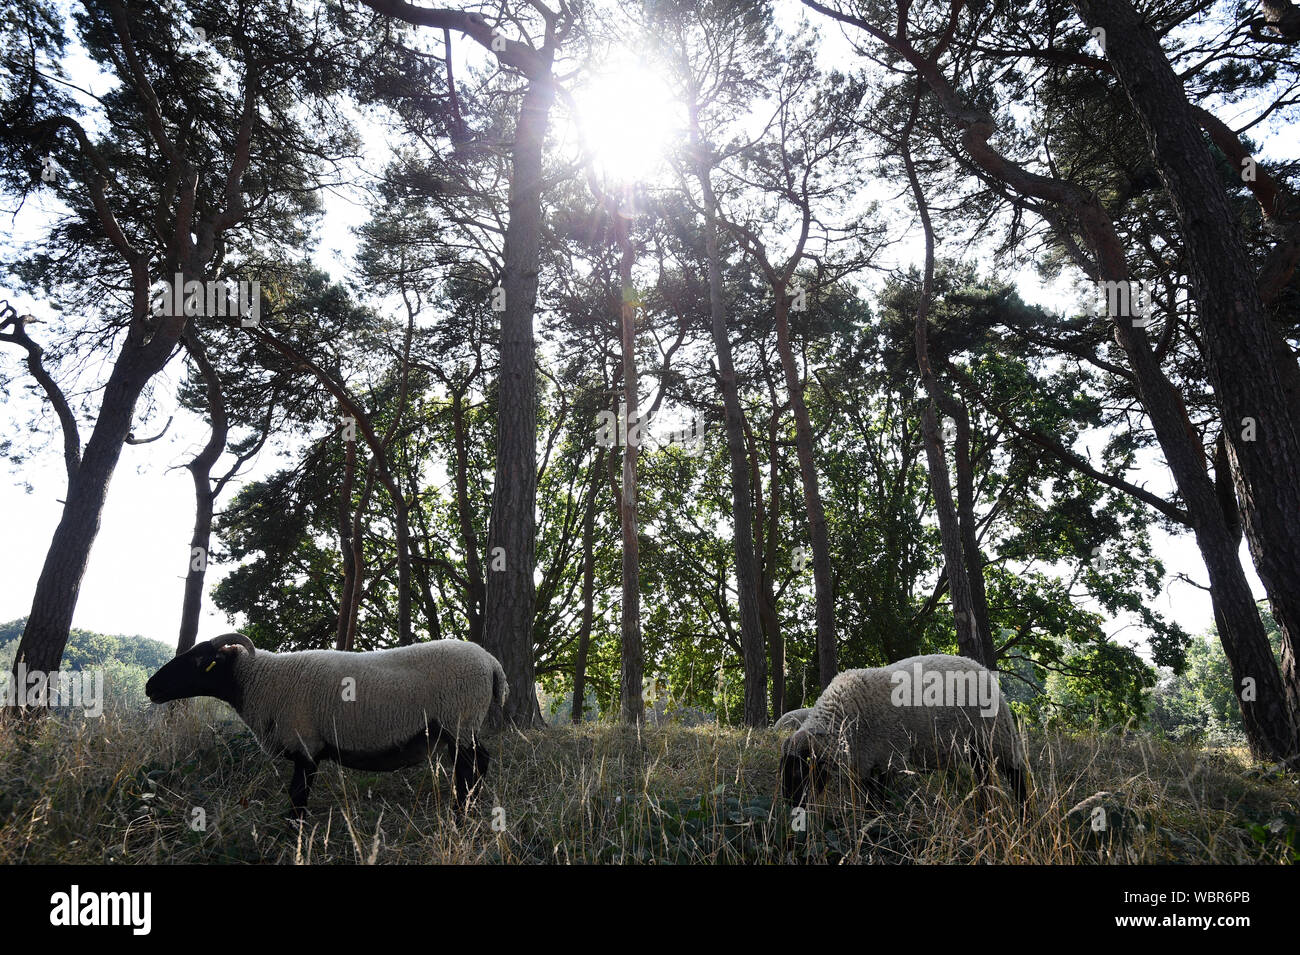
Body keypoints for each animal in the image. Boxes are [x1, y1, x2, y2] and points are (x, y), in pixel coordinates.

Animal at [144, 631, 504, 815]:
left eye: (199, 660)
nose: (150, 687)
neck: (261, 680)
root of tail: (491, 662)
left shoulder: (306, 746)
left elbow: (297, 797)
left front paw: (293, 835)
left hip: (460, 720)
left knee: (472, 764)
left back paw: (462, 811)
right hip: (461, 726)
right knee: (476, 762)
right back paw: (467, 805)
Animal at [780, 657, 1024, 815]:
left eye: (799, 772)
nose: (790, 805)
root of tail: (981, 667)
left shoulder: (891, 756)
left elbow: (882, 794)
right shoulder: (865, 761)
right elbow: (870, 797)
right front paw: (871, 819)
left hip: (996, 734)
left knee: (1016, 772)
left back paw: (1024, 814)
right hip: (975, 747)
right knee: (985, 777)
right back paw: (985, 811)